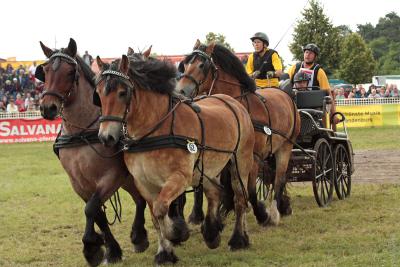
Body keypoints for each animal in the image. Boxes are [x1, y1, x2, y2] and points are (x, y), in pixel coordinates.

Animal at [37, 38, 152, 266]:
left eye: (70, 71)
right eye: (45, 70)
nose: (48, 108)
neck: (80, 134)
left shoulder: (112, 176)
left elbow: (91, 209)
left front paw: (91, 247)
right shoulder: (79, 183)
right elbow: (97, 213)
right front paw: (111, 250)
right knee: (139, 199)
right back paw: (139, 236)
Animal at [95, 55, 255, 266]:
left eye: (122, 93)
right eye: (98, 94)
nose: (106, 137)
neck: (152, 131)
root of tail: (232, 102)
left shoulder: (180, 177)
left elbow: (161, 208)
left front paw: (177, 233)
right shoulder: (143, 183)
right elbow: (155, 216)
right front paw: (164, 252)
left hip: (241, 162)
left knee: (240, 199)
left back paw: (238, 238)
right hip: (206, 169)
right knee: (214, 193)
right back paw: (212, 234)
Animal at [176, 40, 300, 226]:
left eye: (202, 65)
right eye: (185, 64)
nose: (180, 92)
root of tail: (285, 95)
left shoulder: (252, 156)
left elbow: (250, 189)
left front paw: (261, 214)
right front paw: (219, 212)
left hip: (286, 146)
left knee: (279, 179)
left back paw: (275, 211)